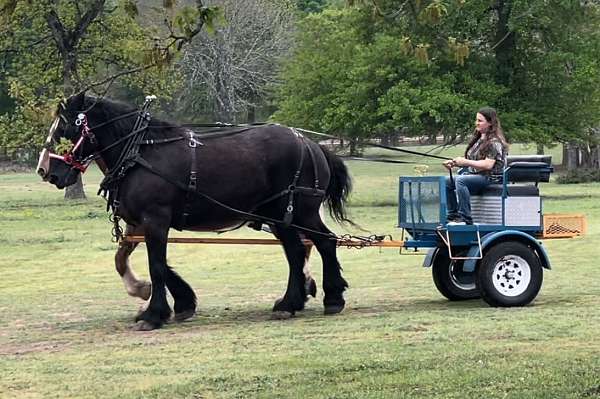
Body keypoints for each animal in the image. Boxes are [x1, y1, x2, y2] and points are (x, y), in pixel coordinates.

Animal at [36, 94, 352, 332]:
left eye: (65, 130)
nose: (47, 172)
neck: (140, 153)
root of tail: (311, 144)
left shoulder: (155, 219)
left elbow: (157, 265)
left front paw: (153, 314)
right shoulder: (141, 223)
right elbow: (140, 262)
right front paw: (173, 301)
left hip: (300, 212)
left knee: (324, 243)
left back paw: (331, 297)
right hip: (281, 217)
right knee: (298, 252)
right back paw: (291, 303)